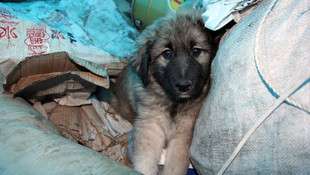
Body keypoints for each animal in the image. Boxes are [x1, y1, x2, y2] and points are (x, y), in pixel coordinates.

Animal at [103, 9, 214, 175]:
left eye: (196, 51)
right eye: (167, 53)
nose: (183, 86)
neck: (173, 103)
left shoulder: (184, 134)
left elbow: (175, 166)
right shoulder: (150, 124)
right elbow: (146, 159)